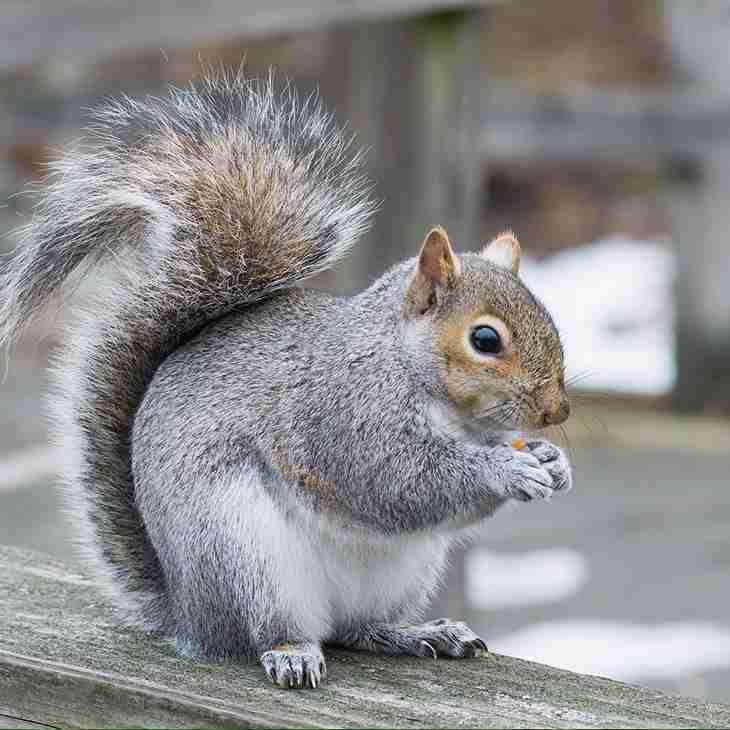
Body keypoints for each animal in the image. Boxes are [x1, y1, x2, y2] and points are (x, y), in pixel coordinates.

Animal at [0, 73, 572, 689]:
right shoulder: (344, 416)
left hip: (404, 572)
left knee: (357, 629)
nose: (557, 412)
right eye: (485, 339)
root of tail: (188, 611)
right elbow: (400, 483)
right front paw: (507, 469)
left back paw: (416, 633)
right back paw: (291, 651)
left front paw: (552, 461)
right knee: (273, 629)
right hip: (242, 554)